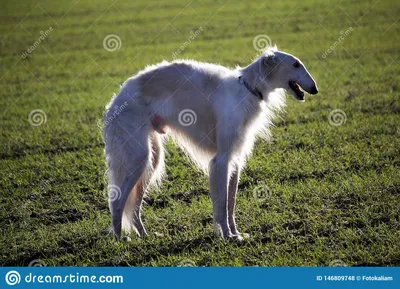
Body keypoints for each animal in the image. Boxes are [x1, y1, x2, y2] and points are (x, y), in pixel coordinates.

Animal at [103, 46, 318, 240]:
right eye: (295, 64)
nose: (315, 89)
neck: (248, 89)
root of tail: (117, 99)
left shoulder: (235, 159)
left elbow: (231, 203)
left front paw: (237, 234)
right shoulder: (221, 159)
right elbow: (222, 204)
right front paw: (228, 235)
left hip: (152, 160)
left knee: (134, 206)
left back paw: (144, 235)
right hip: (137, 157)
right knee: (117, 202)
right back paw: (120, 238)